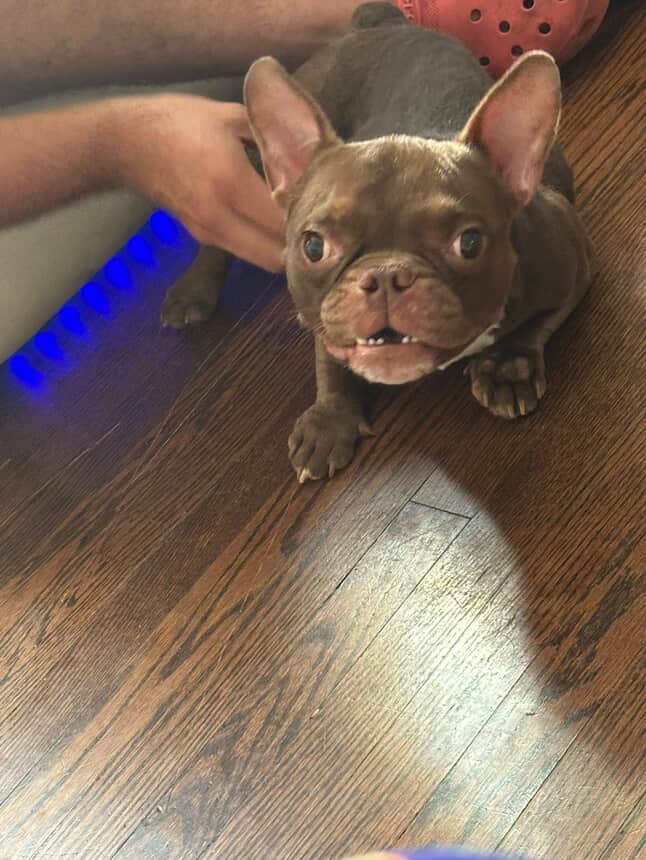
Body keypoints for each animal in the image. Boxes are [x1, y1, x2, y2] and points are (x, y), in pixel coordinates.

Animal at [162, 2, 592, 483]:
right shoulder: (324, 315)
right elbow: (328, 359)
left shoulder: (572, 261)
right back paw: (193, 290)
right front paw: (330, 421)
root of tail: (381, 22)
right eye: (314, 247)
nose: (386, 276)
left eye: (469, 244)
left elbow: (539, 324)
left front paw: (507, 365)